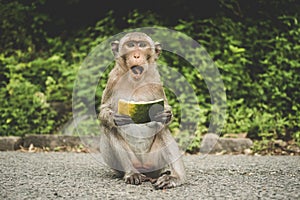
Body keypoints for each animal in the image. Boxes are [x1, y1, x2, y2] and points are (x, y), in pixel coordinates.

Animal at [98, 32, 185, 190]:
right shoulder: (113, 79)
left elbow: (165, 107)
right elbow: (104, 109)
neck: (135, 80)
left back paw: (174, 177)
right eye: (131, 45)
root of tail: (146, 170)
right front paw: (115, 118)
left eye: (142, 45)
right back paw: (132, 173)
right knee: (109, 129)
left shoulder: (156, 80)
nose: (137, 55)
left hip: (155, 162)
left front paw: (165, 115)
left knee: (162, 130)